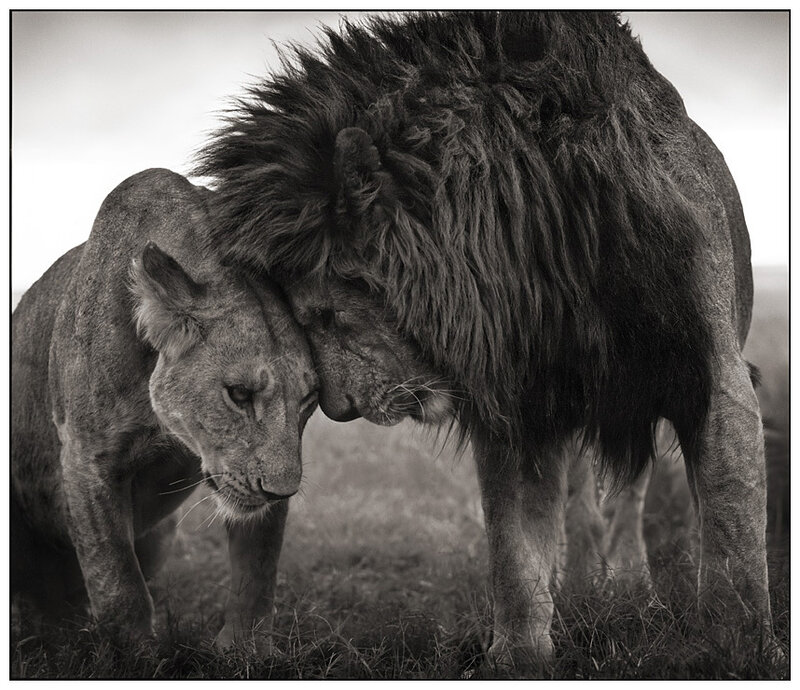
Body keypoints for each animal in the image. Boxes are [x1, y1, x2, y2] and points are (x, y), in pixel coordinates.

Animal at [11, 168, 319, 651]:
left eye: (308, 400)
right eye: (239, 394)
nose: (281, 492)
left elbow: (257, 569)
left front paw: (245, 651)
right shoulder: (86, 457)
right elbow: (117, 581)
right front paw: (133, 654)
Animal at [196, 12, 774, 667]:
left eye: (324, 315)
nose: (340, 411)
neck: (545, 250)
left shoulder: (712, 376)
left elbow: (730, 535)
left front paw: (734, 651)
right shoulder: (517, 402)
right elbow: (515, 546)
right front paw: (520, 655)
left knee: (629, 495)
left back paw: (631, 590)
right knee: (579, 501)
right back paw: (581, 589)